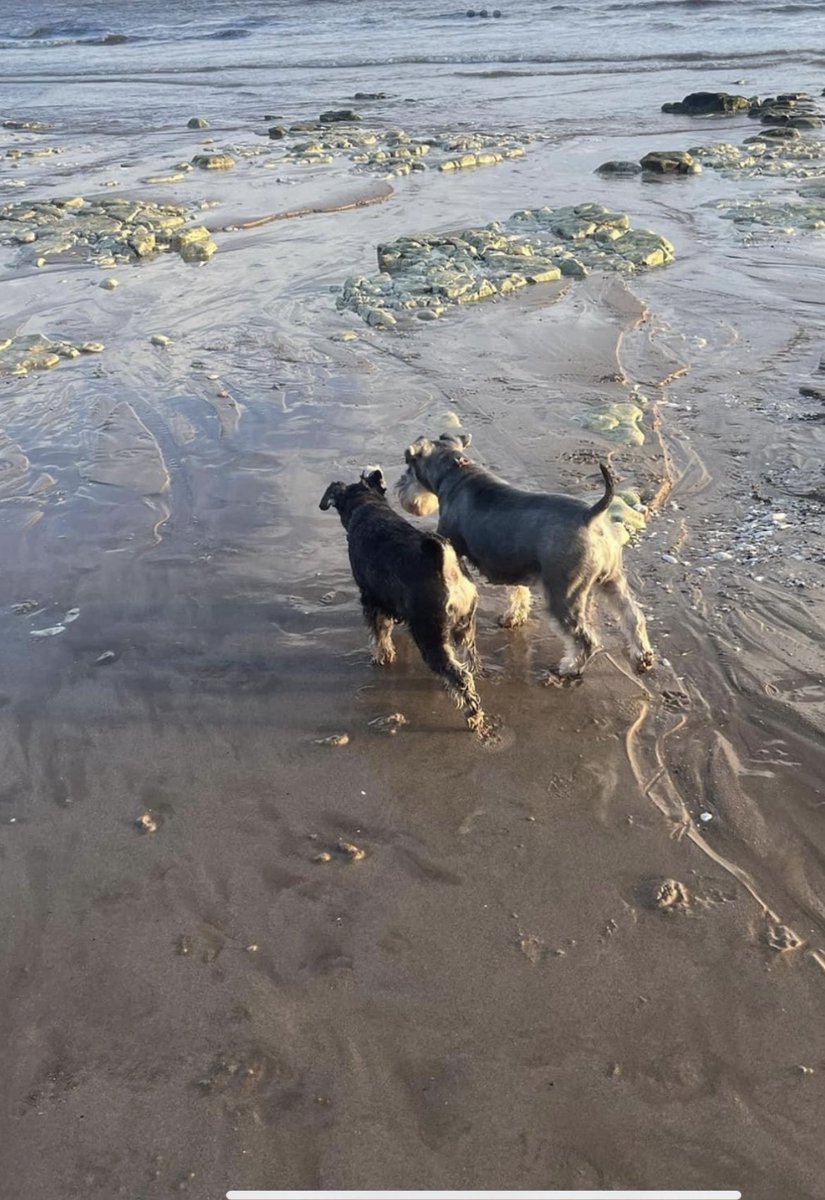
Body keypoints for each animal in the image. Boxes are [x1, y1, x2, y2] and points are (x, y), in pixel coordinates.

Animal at [318, 465, 486, 729]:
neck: (367, 507)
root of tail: (446, 564)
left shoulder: (371, 599)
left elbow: (380, 633)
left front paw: (382, 656)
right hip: (464, 627)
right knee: (469, 659)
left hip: (430, 635)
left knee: (459, 675)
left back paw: (473, 715)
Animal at [395, 432, 652, 681]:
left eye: (408, 466)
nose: (399, 487)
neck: (455, 474)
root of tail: (591, 515)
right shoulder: (517, 565)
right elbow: (519, 592)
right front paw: (513, 617)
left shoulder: (453, 547)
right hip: (611, 579)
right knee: (632, 616)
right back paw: (643, 657)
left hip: (564, 594)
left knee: (585, 639)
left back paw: (569, 668)